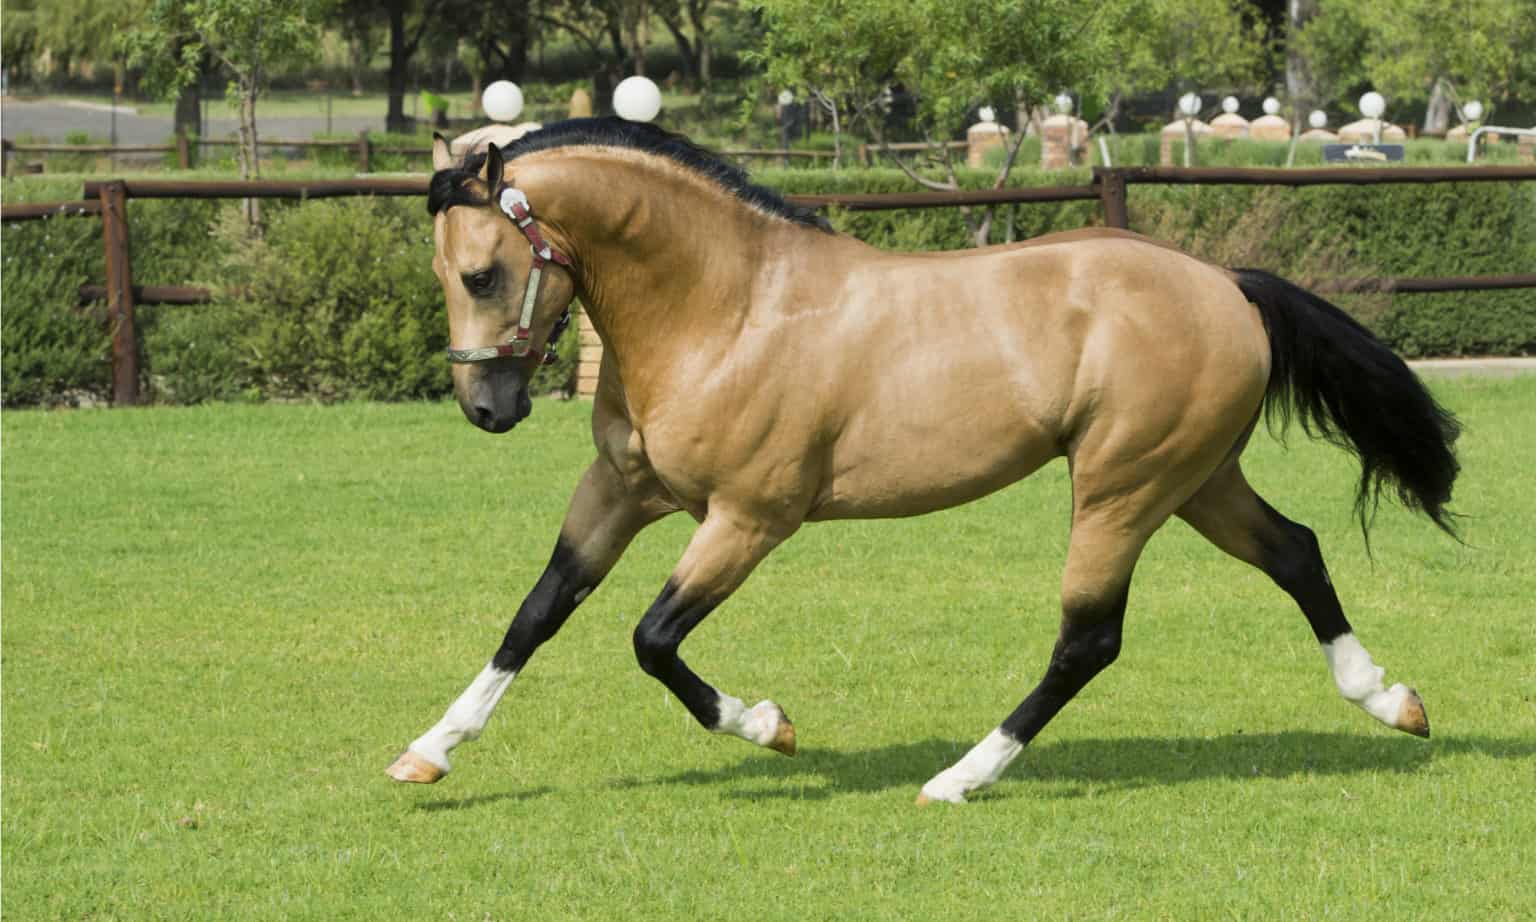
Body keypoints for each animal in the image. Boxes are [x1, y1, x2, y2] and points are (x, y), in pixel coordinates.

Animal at [386, 117, 1460, 804]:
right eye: (442, 273)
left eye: (481, 274)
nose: (487, 409)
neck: (727, 309)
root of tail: (1225, 284)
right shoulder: (620, 493)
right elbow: (536, 614)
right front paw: (428, 751)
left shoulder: (749, 520)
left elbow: (652, 639)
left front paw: (769, 725)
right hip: (1198, 481)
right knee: (1297, 553)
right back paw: (1391, 700)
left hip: (1124, 488)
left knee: (1088, 639)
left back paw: (959, 778)